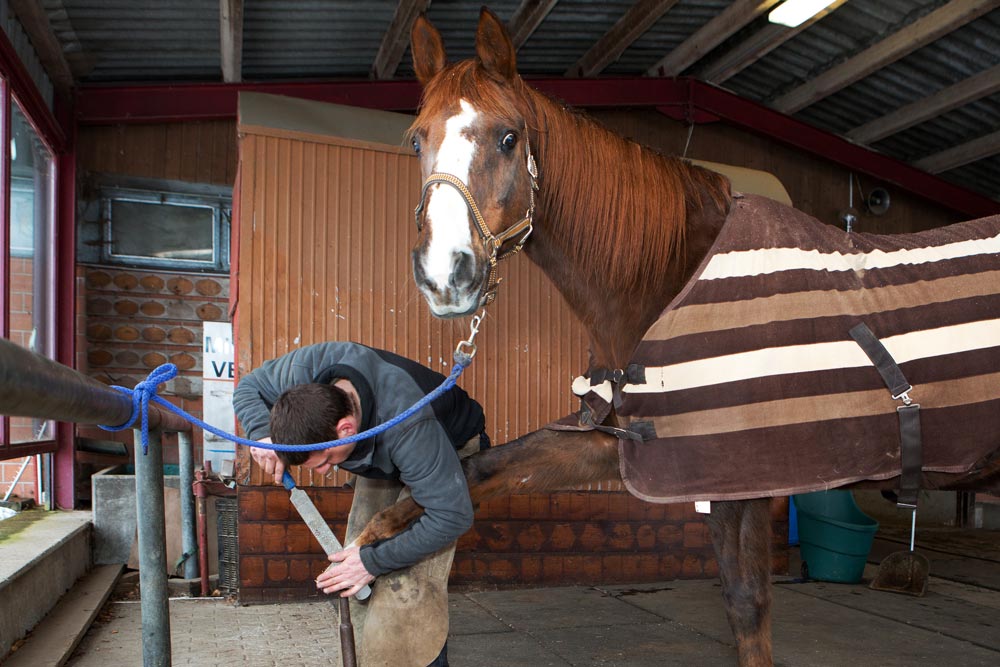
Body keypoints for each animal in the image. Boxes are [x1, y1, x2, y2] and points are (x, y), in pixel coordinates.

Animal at [354, 6, 1000, 667]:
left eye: (510, 137)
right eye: (416, 139)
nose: (445, 274)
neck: (670, 276)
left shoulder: (734, 477)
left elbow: (747, 607)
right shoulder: (629, 441)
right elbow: (491, 464)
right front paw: (372, 544)